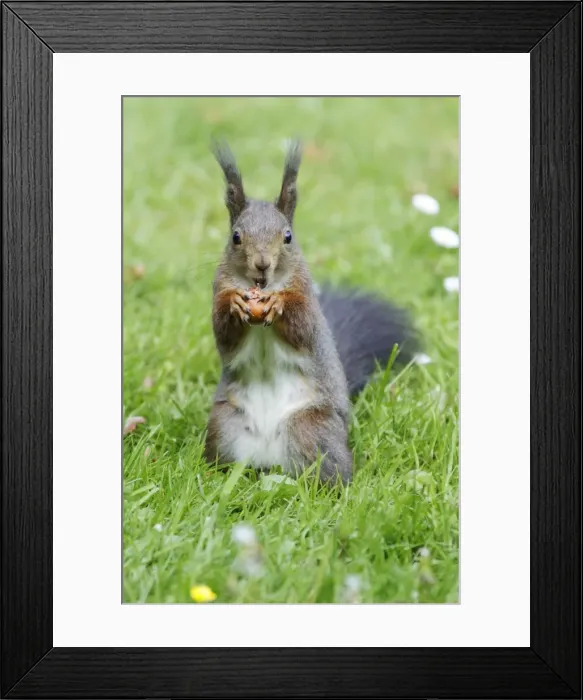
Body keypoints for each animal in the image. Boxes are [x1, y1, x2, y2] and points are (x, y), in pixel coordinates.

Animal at [204, 140, 417, 484]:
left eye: (287, 236)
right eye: (236, 236)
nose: (262, 264)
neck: (264, 286)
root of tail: (268, 460)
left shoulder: (306, 299)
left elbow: (303, 328)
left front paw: (279, 305)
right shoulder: (218, 288)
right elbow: (224, 334)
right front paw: (234, 303)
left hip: (312, 430)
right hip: (224, 424)